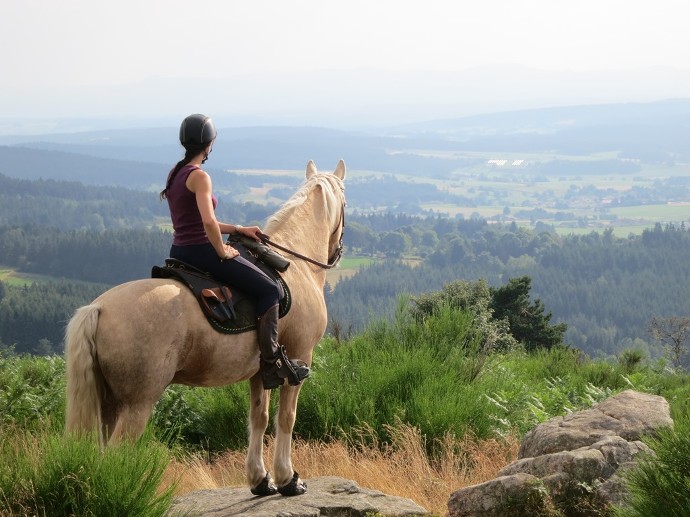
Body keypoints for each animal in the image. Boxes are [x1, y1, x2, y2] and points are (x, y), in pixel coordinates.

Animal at [63, 158, 344, 496]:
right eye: (345, 204)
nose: (336, 251)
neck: (293, 265)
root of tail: (99, 308)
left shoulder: (261, 371)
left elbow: (259, 417)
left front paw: (260, 479)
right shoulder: (301, 356)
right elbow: (286, 418)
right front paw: (288, 479)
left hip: (109, 403)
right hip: (136, 404)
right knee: (117, 453)